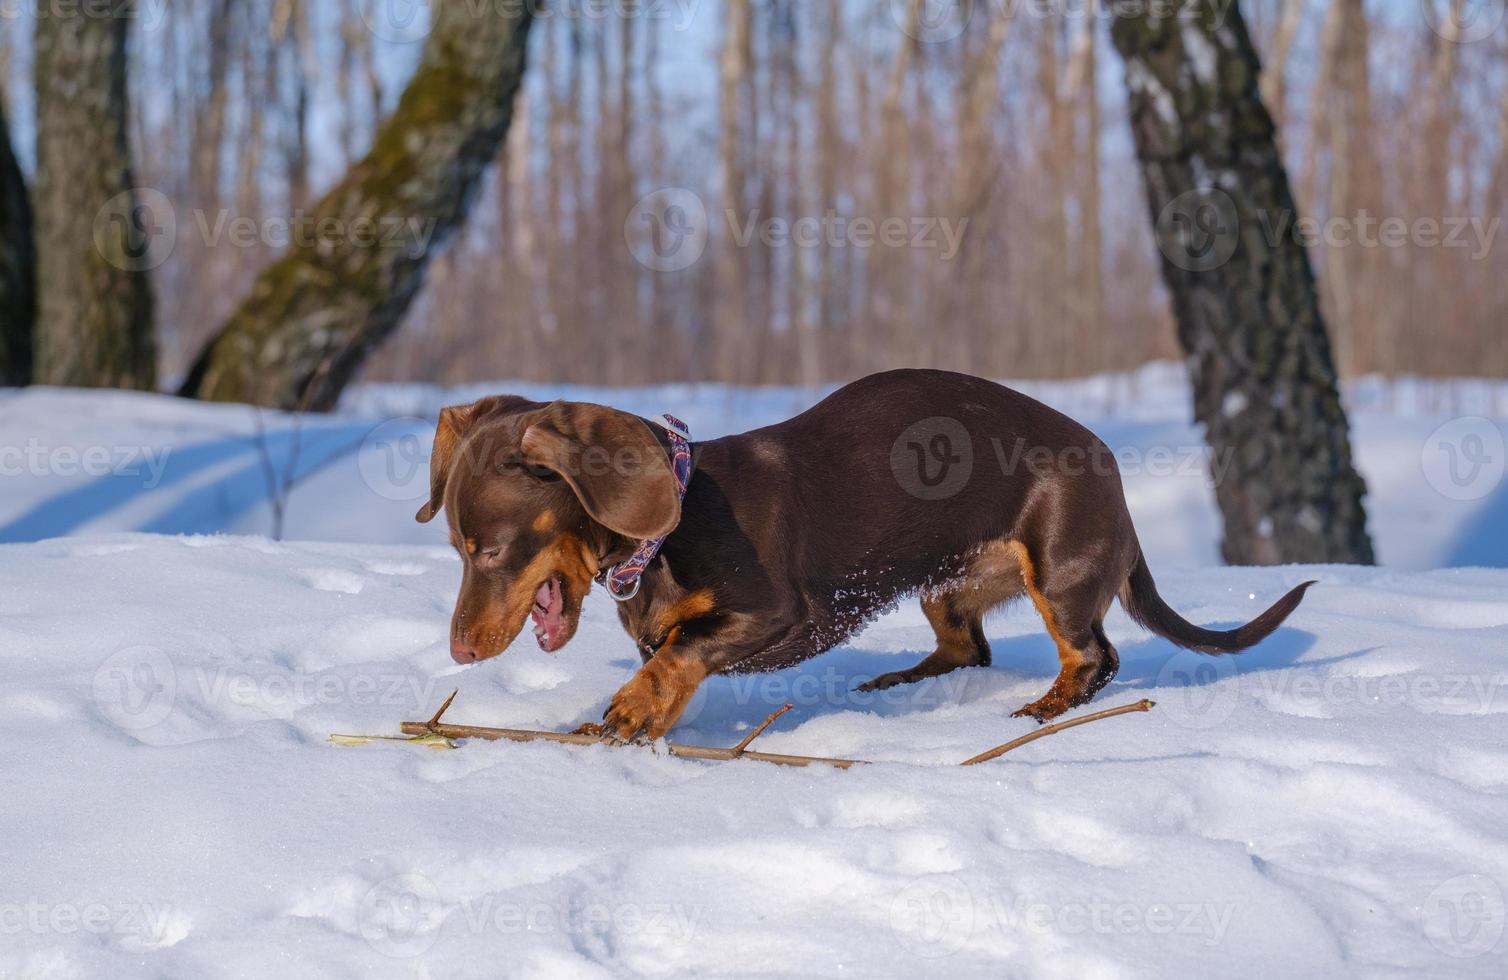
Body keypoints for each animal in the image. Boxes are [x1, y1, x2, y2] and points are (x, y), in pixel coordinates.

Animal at [419, 370, 1314, 735]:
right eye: (456, 547)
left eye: (494, 551)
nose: (457, 652)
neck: (670, 528)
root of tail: (1116, 480)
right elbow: (670, 663)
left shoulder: (776, 613)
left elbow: (679, 651)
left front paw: (633, 707)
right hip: (941, 584)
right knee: (969, 648)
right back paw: (894, 683)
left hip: (1057, 571)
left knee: (1095, 657)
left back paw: (1043, 709)